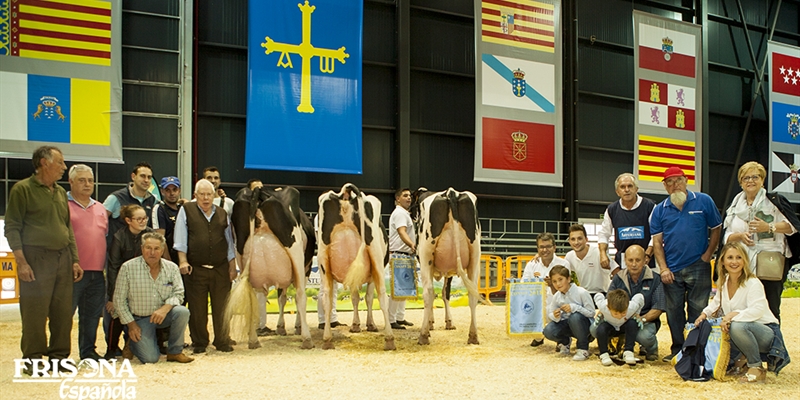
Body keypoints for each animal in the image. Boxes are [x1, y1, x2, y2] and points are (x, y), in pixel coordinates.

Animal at [225, 186, 316, 348]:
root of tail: (258, 190)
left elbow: (281, 298)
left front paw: (281, 327)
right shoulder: (306, 268)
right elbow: (289, 297)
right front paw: (296, 326)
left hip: (241, 258)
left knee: (252, 298)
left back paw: (253, 340)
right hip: (296, 254)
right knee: (300, 295)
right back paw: (307, 338)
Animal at [318, 184, 396, 350]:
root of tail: (345, 194)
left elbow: (355, 298)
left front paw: (355, 325)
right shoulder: (371, 274)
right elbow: (368, 298)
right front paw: (370, 324)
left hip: (323, 261)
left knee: (326, 299)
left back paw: (327, 339)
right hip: (376, 258)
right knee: (382, 295)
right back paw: (389, 339)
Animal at [412, 186, 482, 346]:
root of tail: (451, 192)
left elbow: (438, 294)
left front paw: (430, 324)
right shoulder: (449, 271)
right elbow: (446, 293)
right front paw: (448, 322)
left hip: (426, 255)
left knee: (428, 292)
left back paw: (423, 335)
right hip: (475, 255)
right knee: (473, 294)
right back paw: (473, 336)